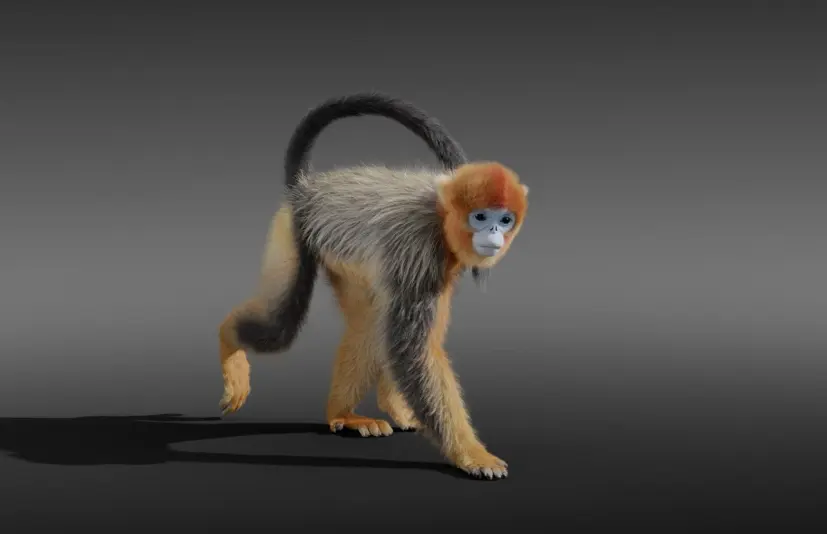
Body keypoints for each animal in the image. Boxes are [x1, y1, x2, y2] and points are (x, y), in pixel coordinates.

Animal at [217, 93, 529, 480]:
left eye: (505, 218)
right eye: (480, 217)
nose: (494, 233)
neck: (439, 215)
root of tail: (307, 188)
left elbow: (411, 342)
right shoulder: (418, 250)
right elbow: (413, 350)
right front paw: (470, 454)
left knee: (367, 323)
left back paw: (345, 413)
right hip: (293, 230)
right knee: (282, 327)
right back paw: (229, 338)